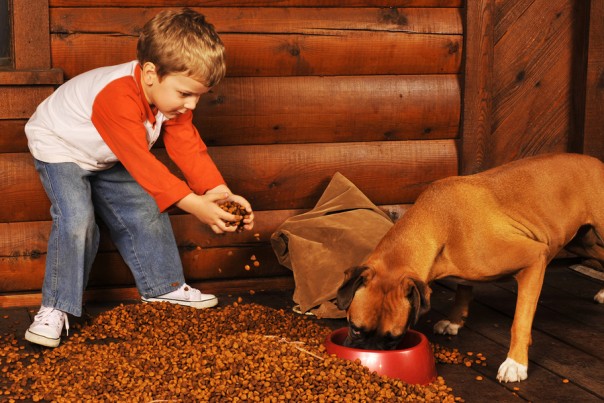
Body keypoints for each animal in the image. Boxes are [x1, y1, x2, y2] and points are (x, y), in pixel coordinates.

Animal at [338, 152, 600, 386]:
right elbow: (463, 288)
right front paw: (455, 321)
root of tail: (595, 161)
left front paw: (515, 363)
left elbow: (521, 320)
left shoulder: (535, 257)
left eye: (396, 337)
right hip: (583, 243)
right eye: (355, 329)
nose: (369, 360)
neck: (436, 224)